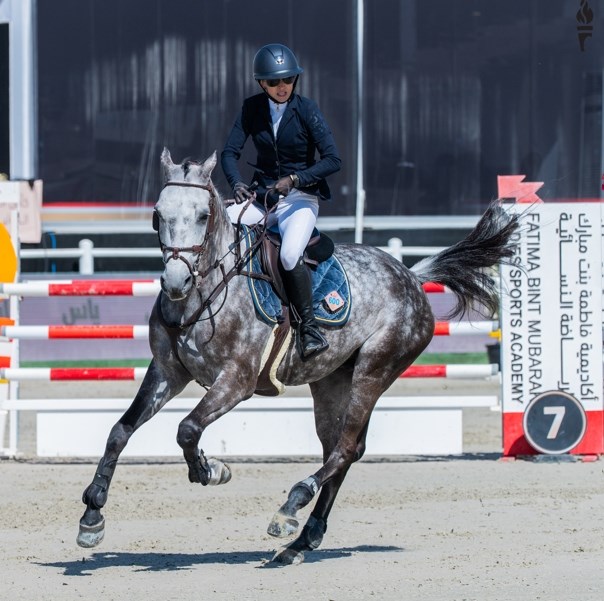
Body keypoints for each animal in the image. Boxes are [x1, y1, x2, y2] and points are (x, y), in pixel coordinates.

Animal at [75, 149, 520, 564]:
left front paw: (211, 470)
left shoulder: (236, 381)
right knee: (341, 449)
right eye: (157, 215)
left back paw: (291, 505)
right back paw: (302, 539)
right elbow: (120, 430)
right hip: (331, 382)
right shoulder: (168, 373)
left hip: (374, 370)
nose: (175, 282)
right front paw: (92, 515)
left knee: (344, 450)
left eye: (203, 216)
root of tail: (410, 275)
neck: (204, 292)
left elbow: (187, 429)